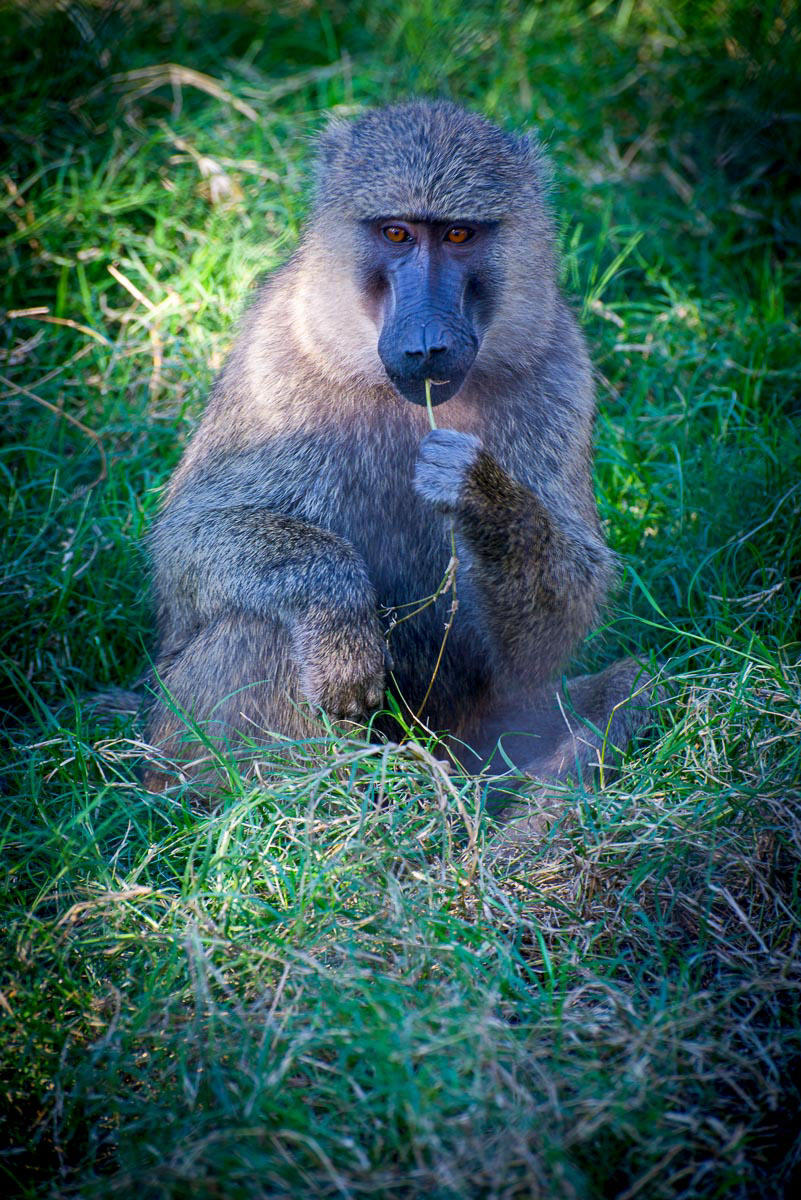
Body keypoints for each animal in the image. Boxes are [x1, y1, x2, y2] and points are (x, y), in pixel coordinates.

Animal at [144, 100, 661, 795]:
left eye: (459, 235)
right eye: (396, 234)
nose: (426, 345)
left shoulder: (561, 372)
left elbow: (559, 622)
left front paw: (479, 491)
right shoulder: (272, 359)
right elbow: (187, 542)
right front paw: (339, 617)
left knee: (636, 684)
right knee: (263, 626)